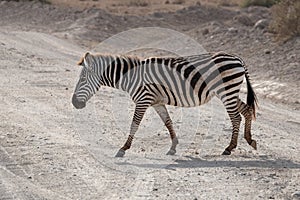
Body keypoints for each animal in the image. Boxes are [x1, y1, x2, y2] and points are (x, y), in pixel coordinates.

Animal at [72, 52, 258, 158]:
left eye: (82, 79)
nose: (74, 103)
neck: (131, 77)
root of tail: (237, 58)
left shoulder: (143, 100)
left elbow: (134, 124)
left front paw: (123, 148)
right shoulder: (157, 102)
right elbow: (168, 122)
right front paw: (173, 147)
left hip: (226, 91)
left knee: (236, 117)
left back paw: (229, 148)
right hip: (229, 92)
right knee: (247, 111)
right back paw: (249, 140)